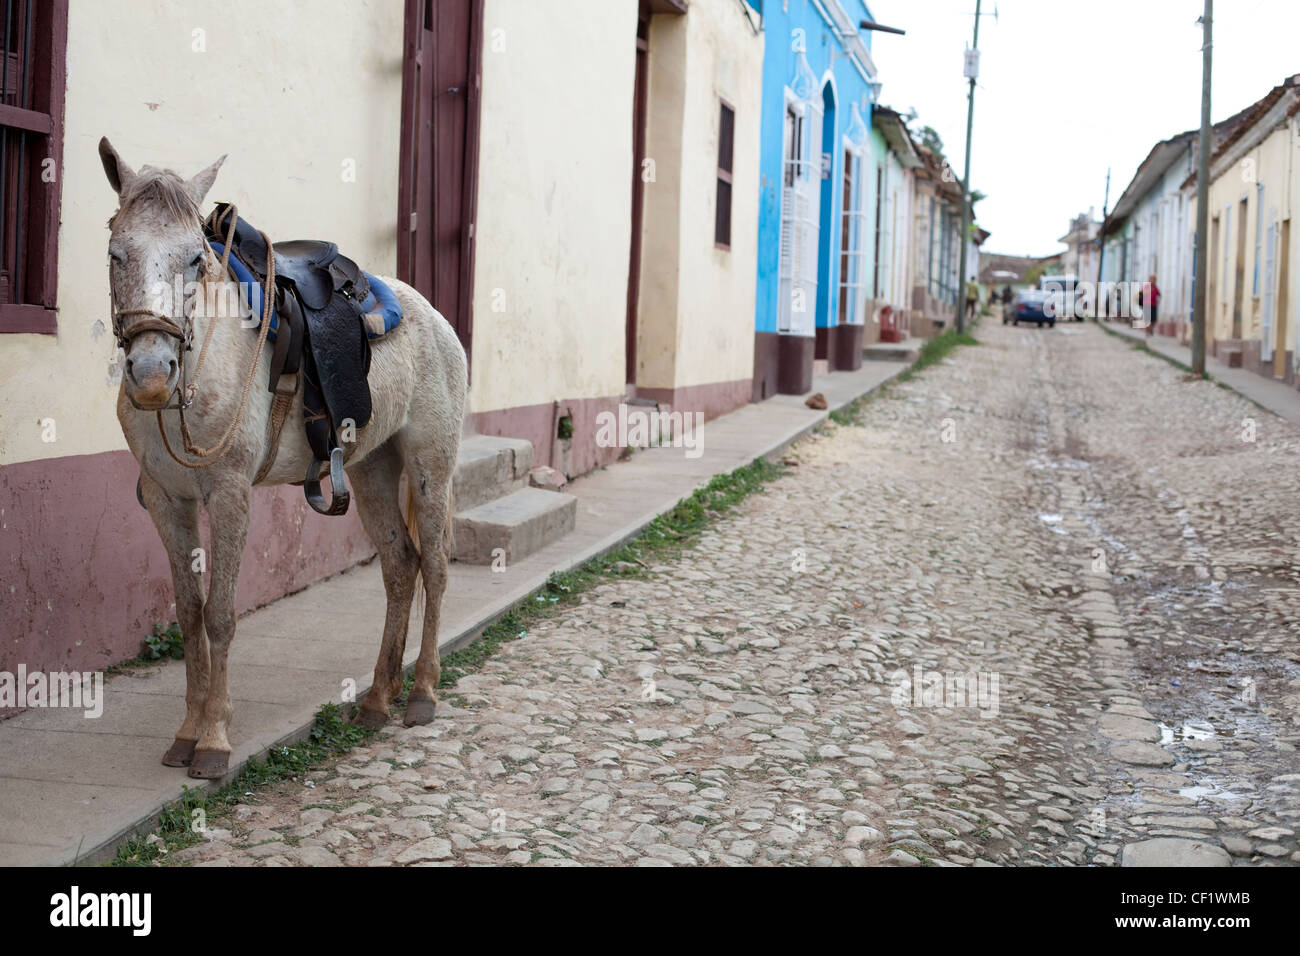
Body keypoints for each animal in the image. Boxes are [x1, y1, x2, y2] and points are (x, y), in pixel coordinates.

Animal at [98, 138, 466, 779]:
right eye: (117, 253)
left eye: (195, 259)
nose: (151, 374)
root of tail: (435, 317)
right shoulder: (168, 502)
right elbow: (189, 613)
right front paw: (186, 733)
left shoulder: (229, 496)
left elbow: (220, 615)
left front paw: (214, 741)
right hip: (371, 470)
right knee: (401, 567)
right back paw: (377, 700)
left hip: (429, 468)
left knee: (437, 567)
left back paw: (422, 693)